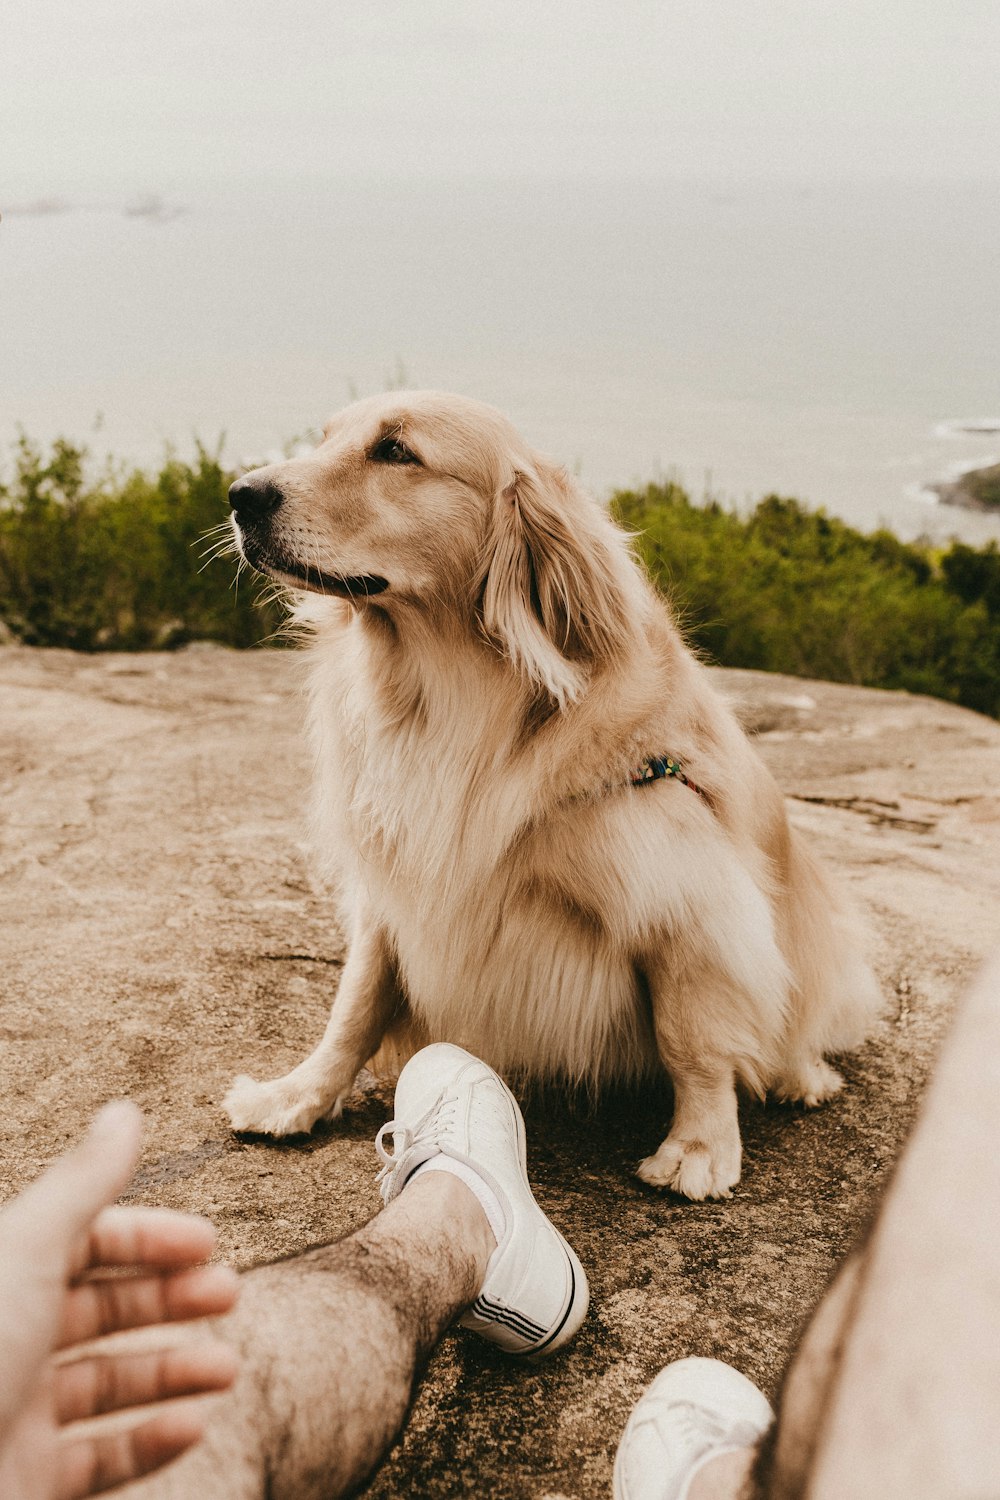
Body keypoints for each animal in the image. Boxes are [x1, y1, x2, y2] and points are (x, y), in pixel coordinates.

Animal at [223, 393, 881, 1200]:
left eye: (397, 452)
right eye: (323, 439)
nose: (239, 495)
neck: (450, 700)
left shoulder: (686, 894)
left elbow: (692, 1034)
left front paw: (698, 1145)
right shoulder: (396, 881)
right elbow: (355, 1003)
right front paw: (298, 1093)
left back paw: (800, 1072)